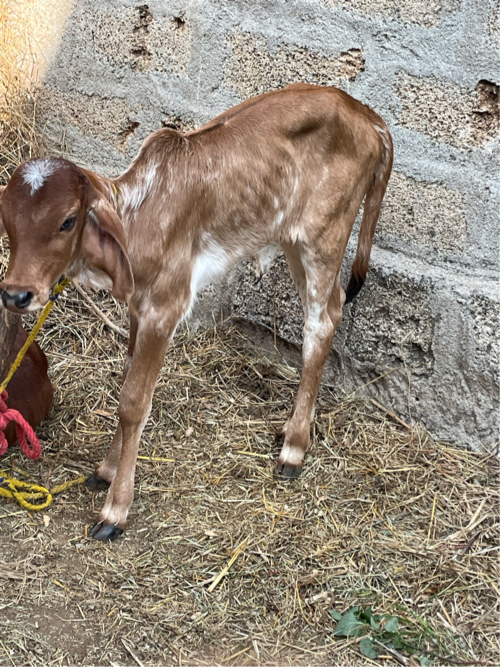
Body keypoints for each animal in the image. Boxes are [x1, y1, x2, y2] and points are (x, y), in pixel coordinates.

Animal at [0, 85, 392, 544]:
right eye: (8, 218)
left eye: (67, 221)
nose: (16, 294)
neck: (140, 215)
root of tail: (364, 112)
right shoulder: (137, 308)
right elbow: (126, 382)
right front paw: (107, 470)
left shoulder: (165, 307)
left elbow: (133, 402)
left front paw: (116, 509)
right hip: (292, 240)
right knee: (331, 308)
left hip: (323, 238)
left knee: (321, 322)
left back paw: (294, 446)